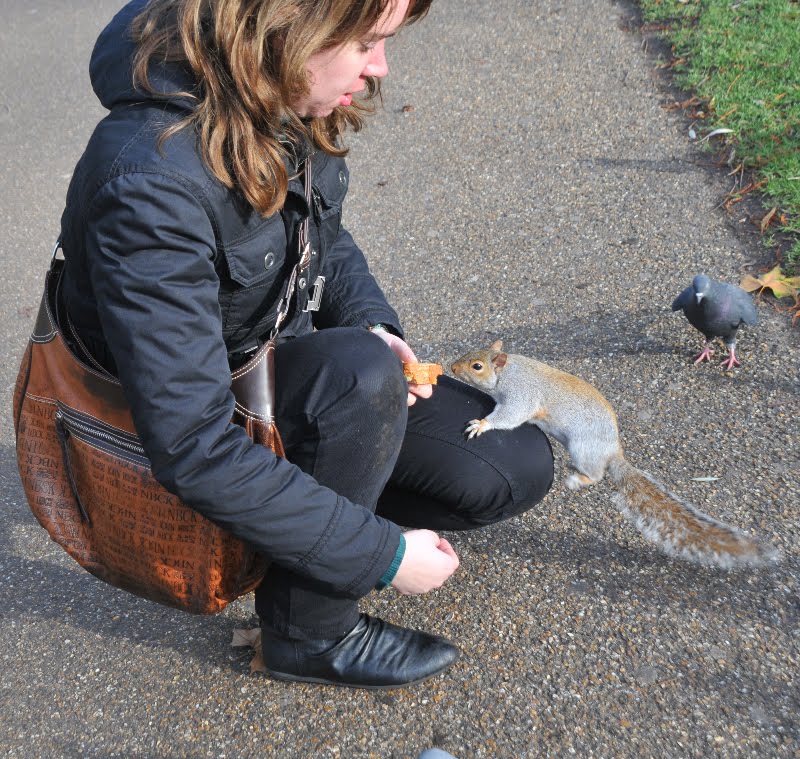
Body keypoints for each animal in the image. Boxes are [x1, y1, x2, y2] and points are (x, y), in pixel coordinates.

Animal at [451, 339, 778, 569]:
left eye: (477, 366)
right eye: (467, 354)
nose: (452, 369)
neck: (510, 371)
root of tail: (613, 452)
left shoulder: (521, 396)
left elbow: (510, 416)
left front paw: (482, 424)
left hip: (583, 448)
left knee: (596, 475)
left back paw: (579, 480)